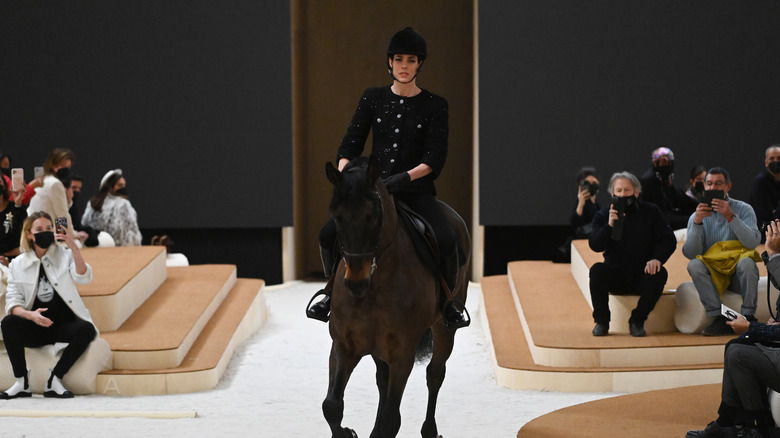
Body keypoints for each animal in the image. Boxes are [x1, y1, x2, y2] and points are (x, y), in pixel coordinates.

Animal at [322, 157, 470, 438]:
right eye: (336, 216)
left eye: (372, 216)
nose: (355, 283)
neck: (373, 288)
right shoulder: (343, 346)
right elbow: (331, 407)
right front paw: (347, 432)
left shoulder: (402, 353)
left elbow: (392, 421)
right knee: (382, 379)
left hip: (444, 327)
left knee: (435, 373)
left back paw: (429, 430)